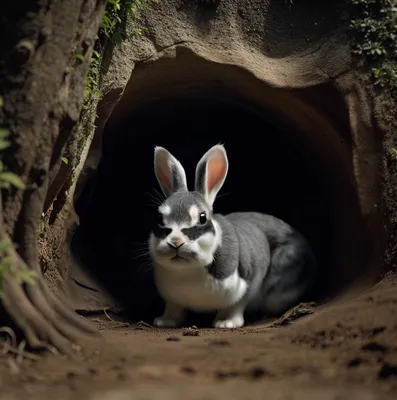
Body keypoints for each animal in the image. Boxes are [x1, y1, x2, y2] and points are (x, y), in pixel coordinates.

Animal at [147, 144, 318, 328]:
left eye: (202, 217)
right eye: (159, 218)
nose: (176, 242)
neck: (186, 272)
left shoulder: (244, 286)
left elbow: (235, 307)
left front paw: (226, 323)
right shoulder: (173, 302)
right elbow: (174, 310)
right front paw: (164, 322)